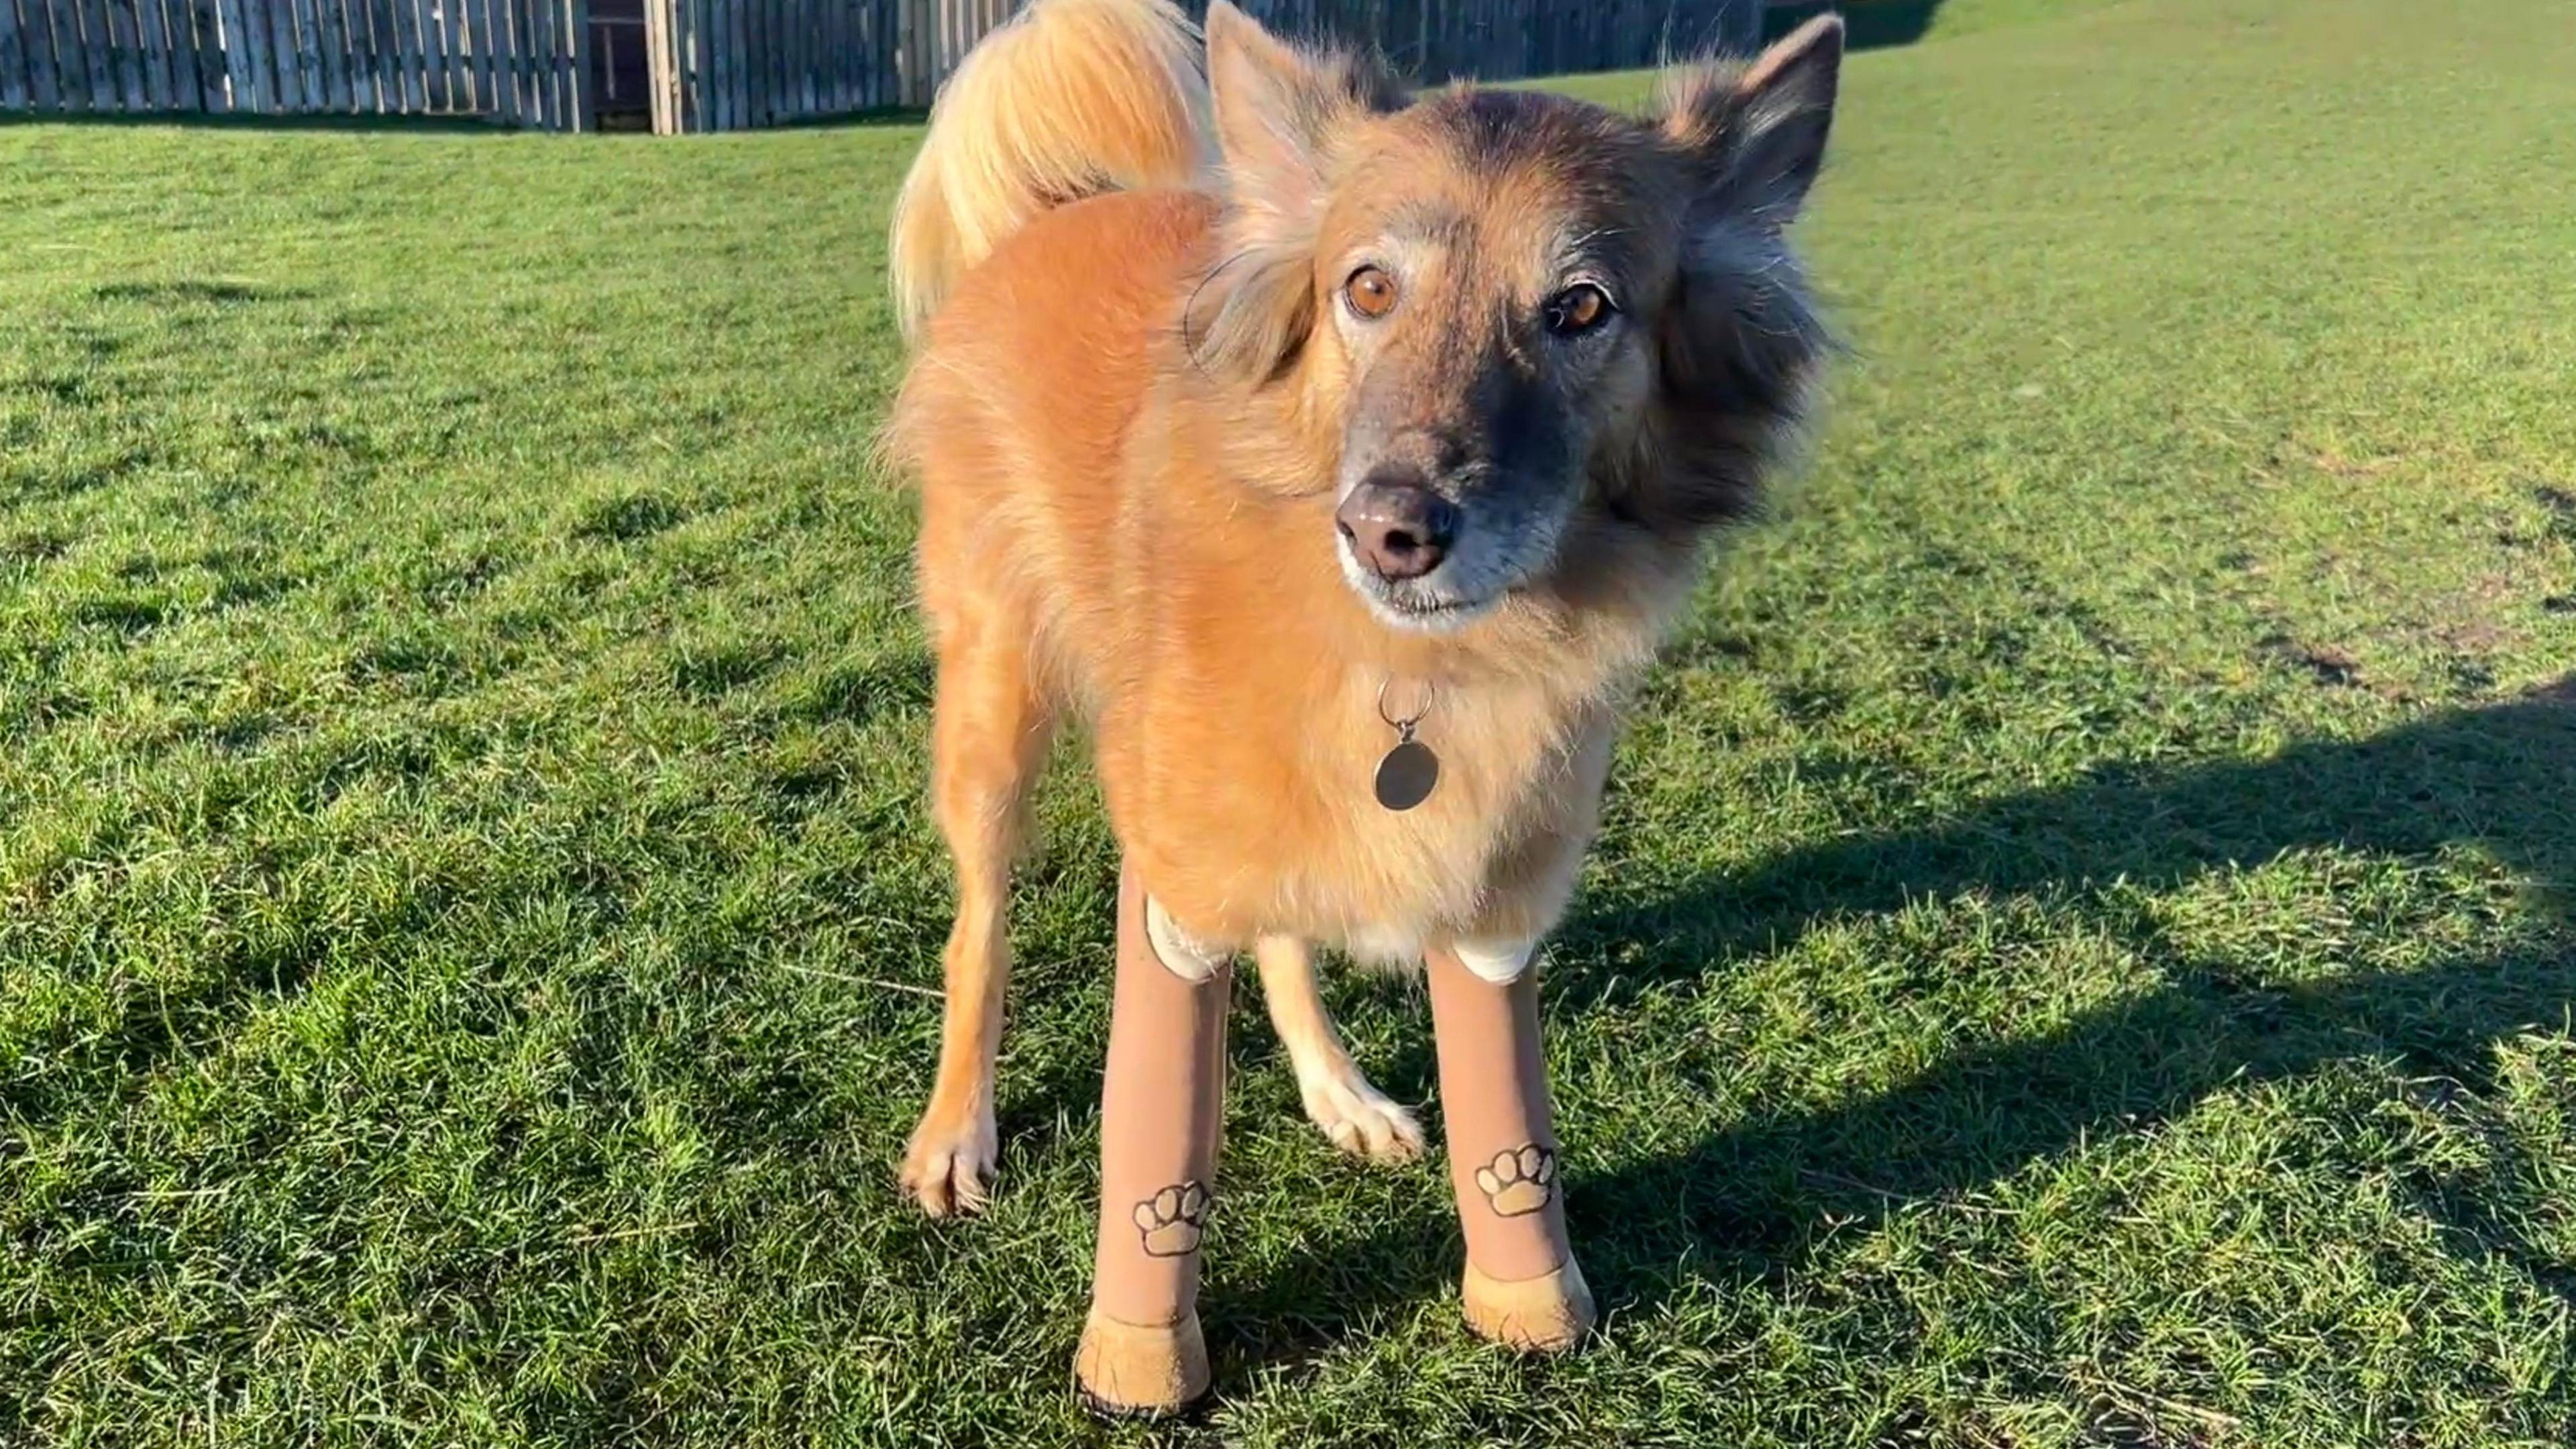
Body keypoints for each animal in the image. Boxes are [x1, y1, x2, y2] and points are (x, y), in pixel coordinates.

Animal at [881, 0, 1834, 1217]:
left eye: (1582, 308)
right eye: (1370, 289)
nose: (1392, 530)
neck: (1410, 670)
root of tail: (1056, 210)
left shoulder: (1492, 902)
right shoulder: (1175, 881)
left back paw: (1337, 1090)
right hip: (994, 709)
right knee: (980, 930)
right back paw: (956, 1127)